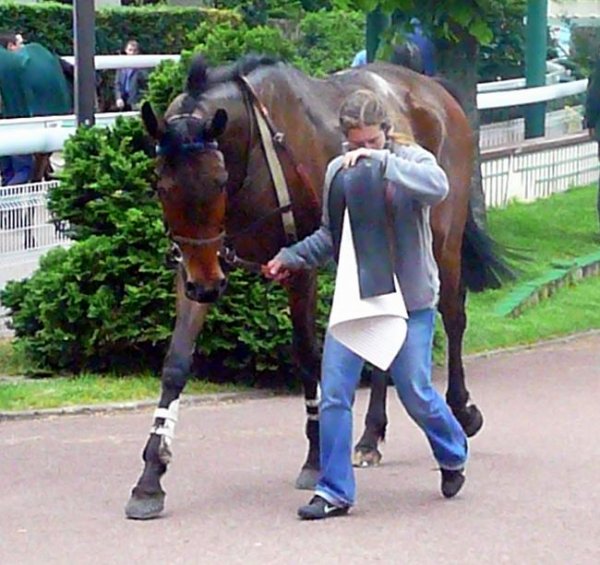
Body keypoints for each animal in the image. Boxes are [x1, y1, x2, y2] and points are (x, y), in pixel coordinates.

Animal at [124, 55, 508, 516]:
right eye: (163, 186)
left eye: (217, 181)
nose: (209, 288)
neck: (255, 153)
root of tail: (433, 89)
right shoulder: (199, 262)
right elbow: (177, 363)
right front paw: (150, 477)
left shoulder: (298, 267)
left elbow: (308, 357)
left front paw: (314, 457)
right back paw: (370, 436)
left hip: (443, 238)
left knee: (452, 314)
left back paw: (463, 411)